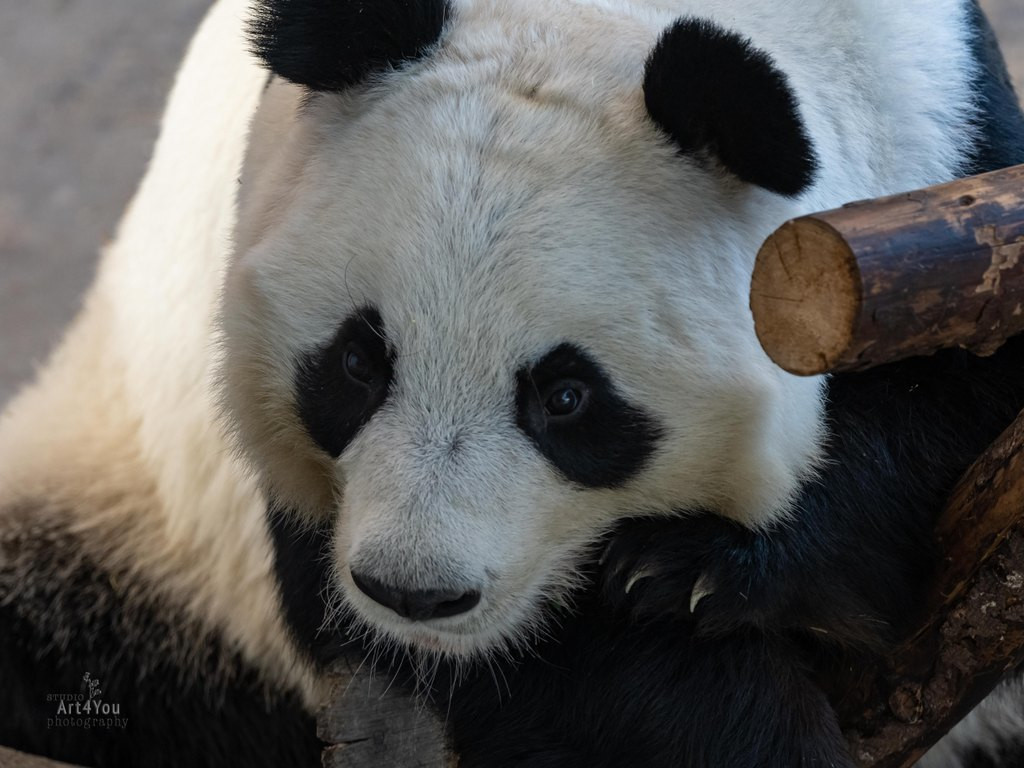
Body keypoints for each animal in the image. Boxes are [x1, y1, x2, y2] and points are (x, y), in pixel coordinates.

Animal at [2, 1, 1024, 768]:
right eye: (357, 363)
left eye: (565, 398)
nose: (415, 592)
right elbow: (534, 670)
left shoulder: (944, 145)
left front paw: (695, 569)